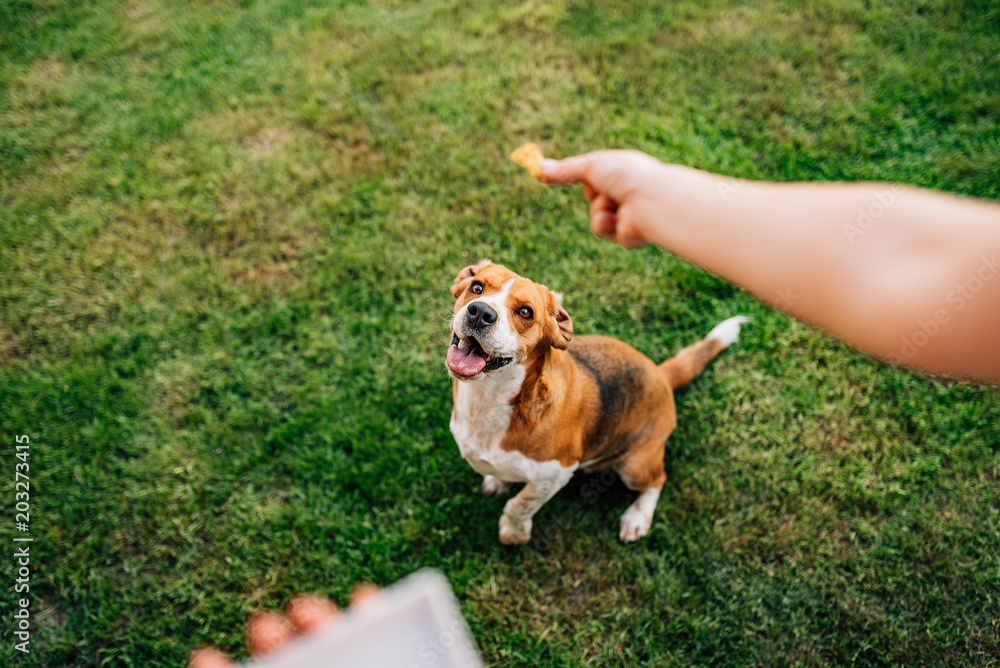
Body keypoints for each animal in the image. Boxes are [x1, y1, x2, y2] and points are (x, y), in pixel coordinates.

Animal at [448, 260, 752, 544]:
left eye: (525, 312)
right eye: (476, 287)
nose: (480, 312)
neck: (489, 398)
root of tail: (662, 374)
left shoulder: (556, 474)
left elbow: (519, 504)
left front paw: (514, 532)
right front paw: (497, 480)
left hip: (634, 467)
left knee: (658, 479)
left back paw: (637, 517)